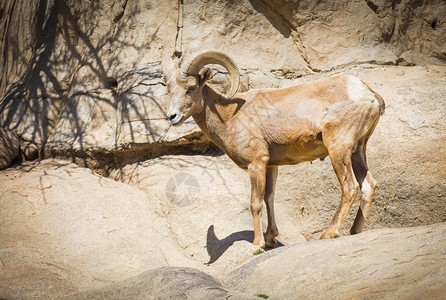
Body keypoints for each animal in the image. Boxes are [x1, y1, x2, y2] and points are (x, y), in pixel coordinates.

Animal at [162, 49, 386, 248]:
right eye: (170, 90)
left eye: (191, 87)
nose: (172, 117)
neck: (231, 117)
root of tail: (371, 96)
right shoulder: (271, 166)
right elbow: (269, 197)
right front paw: (271, 239)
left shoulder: (256, 163)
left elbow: (255, 203)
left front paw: (258, 243)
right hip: (358, 150)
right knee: (368, 185)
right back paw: (353, 232)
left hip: (338, 149)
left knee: (350, 187)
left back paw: (329, 233)